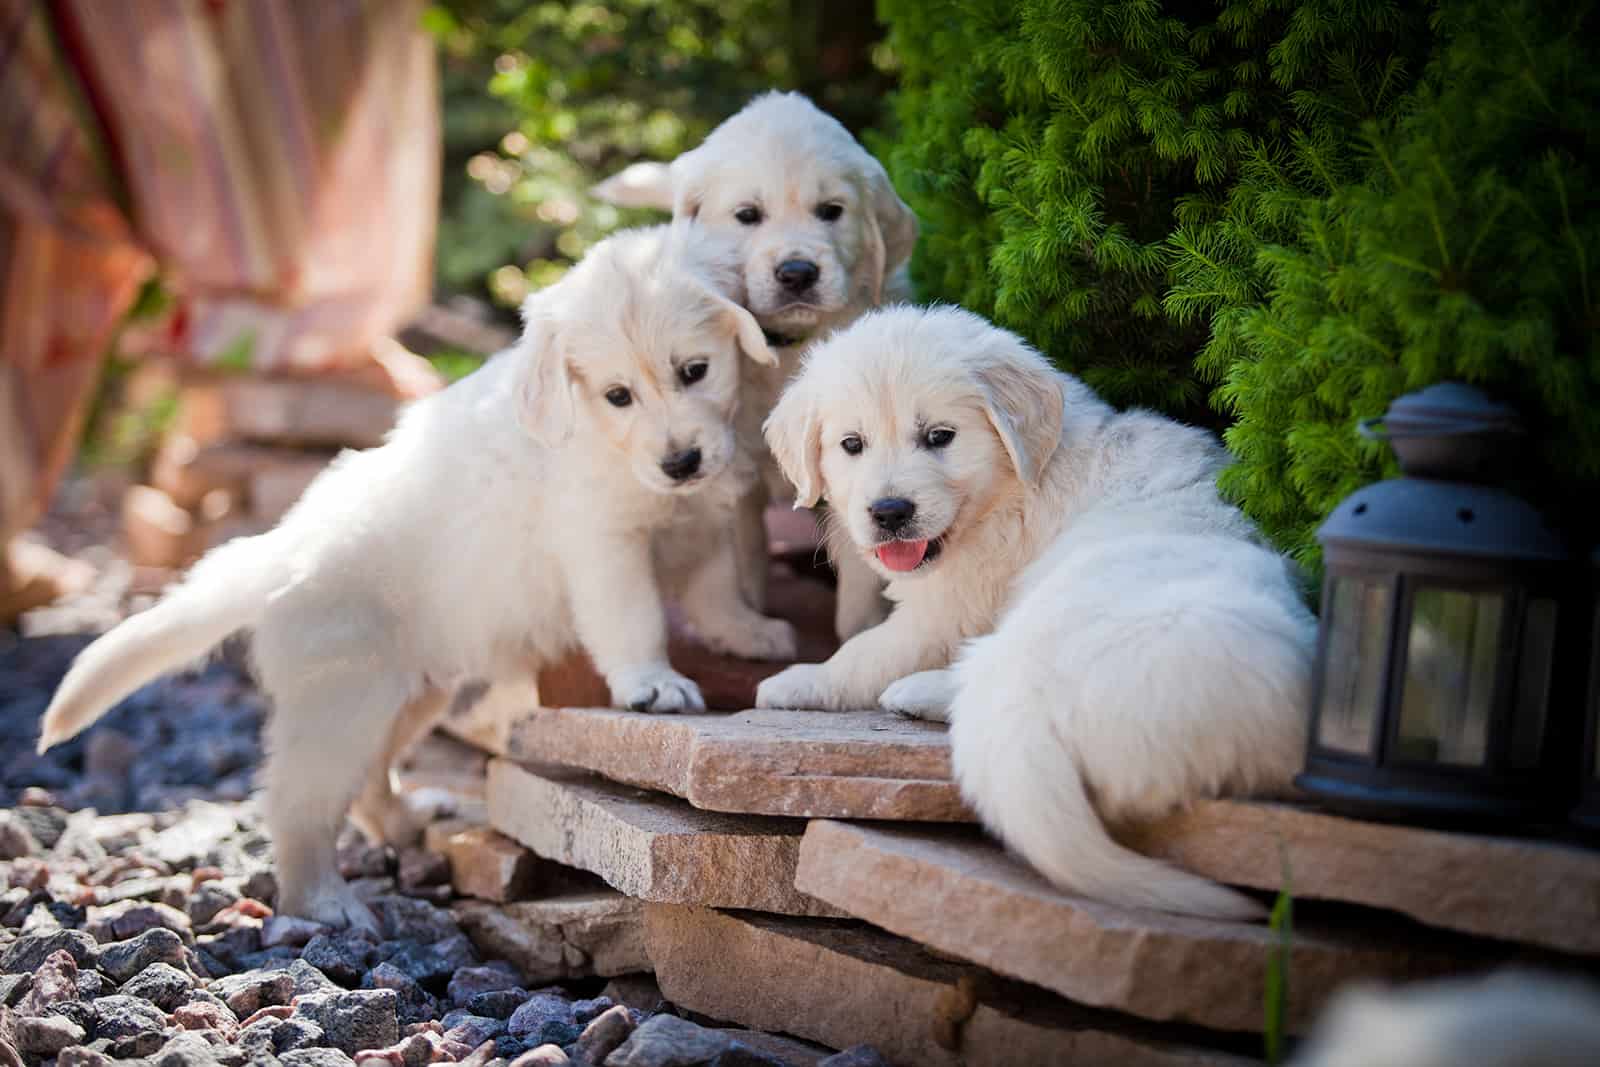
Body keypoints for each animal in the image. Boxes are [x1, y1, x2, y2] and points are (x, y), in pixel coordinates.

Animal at [39, 227, 780, 934]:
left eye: (694, 371)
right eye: (618, 395)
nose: (681, 462)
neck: (607, 440)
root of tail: (280, 553)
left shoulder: (708, 518)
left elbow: (717, 587)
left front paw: (748, 631)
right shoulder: (604, 542)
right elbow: (634, 618)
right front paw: (653, 683)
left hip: (412, 693)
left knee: (368, 783)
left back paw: (406, 822)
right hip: (343, 705)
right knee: (299, 805)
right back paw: (324, 902)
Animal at [592, 91, 921, 639]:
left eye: (831, 211)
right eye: (747, 215)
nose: (797, 273)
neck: (784, 349)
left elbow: (859, 580)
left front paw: (857, 634)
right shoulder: (732, 468)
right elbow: (743, 556)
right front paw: (749, 621)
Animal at [755, 303, 1318, 921]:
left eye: (939, 437)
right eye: (851, 444)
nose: (890, 511)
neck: (1013, 487)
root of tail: (1029, 695)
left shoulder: (948, 606)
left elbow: (867, 650)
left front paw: (803, 680)